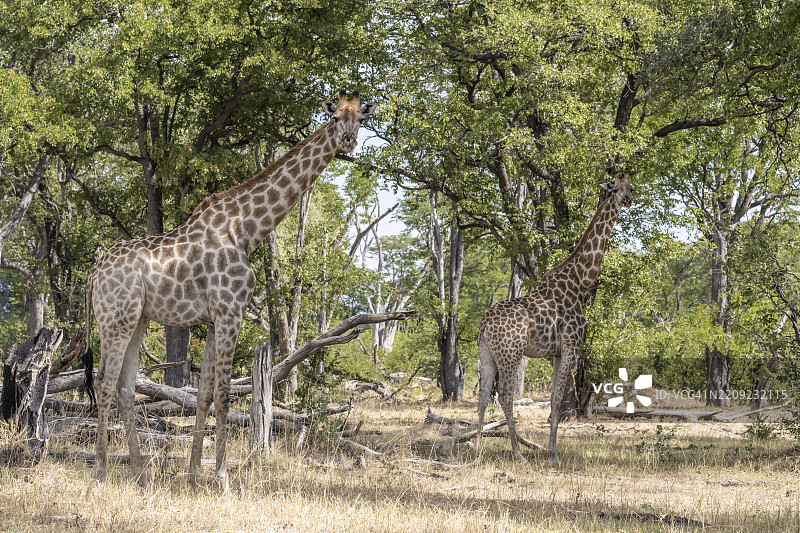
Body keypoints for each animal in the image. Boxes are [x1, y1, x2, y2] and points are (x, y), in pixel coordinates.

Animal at [84, 90, 376, 488]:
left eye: (360, 118)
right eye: (334, 118)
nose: (348, 140)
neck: (248, 231)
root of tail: (93, 274)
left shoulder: (212, 320)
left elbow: (204, 394)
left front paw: (193, 474)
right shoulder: (230, 312)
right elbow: (224, 395)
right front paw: (221, 477)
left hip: (137, 319)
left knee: (125, 386)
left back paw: (140, 474)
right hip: (115, 318)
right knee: (103, 382)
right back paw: (101, 470)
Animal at [476, 176, 632, 464]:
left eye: (631, 187)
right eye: (616, 188)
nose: (627, 199)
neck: (581, 283)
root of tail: (484, 325)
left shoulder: (558, 352)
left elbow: (552, 399)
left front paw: (551, 449)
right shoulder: (571, 345)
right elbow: (559, 399)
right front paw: (554, 453)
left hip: (487, 355)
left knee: (483, 396)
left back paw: (477, 447)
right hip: (511, 354)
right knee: (505, 396)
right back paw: (518, 454)